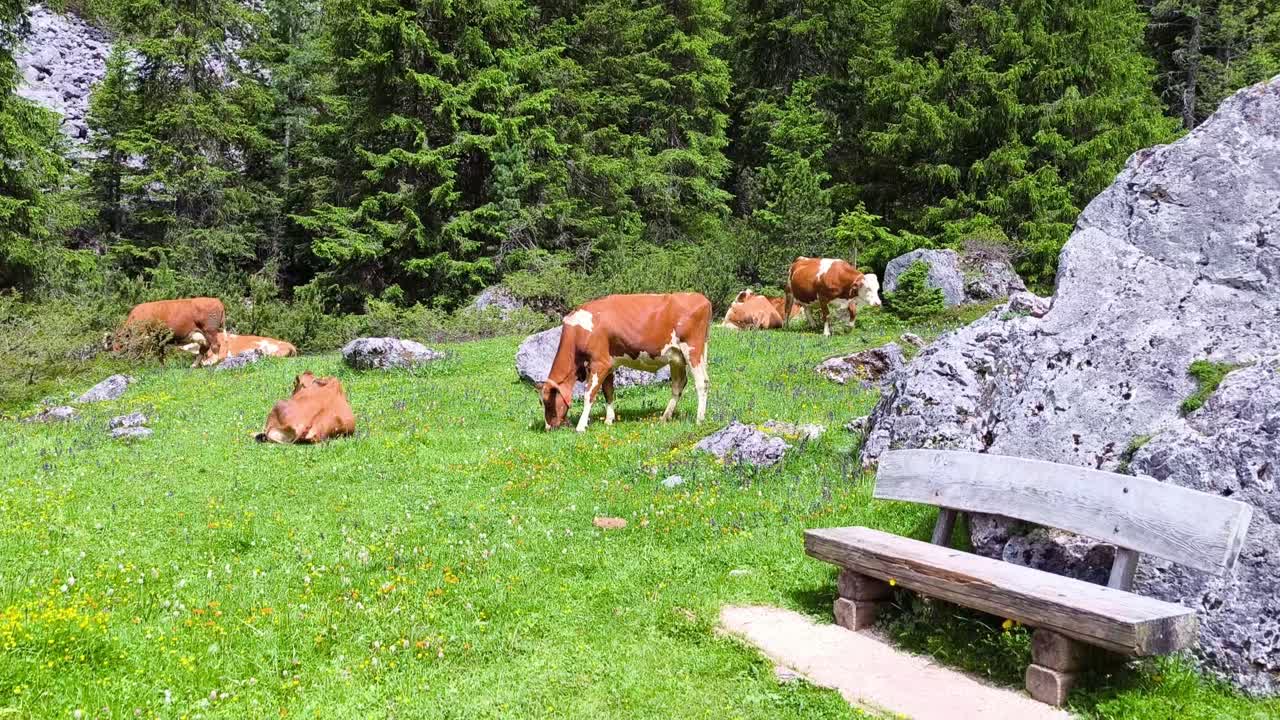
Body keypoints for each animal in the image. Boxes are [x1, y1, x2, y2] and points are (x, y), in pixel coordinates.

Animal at [541, 293, 712, 432]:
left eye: (547, 402)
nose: (548, 428)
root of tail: (702, 298)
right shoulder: (609, 364)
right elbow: (608, 392)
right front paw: (609, 420)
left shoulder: (599, 362)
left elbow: (589, 393)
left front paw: (581, 426)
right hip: (677, 357)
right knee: (678, 385)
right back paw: (665, 417)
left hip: (692, 350)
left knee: (702, 382)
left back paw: (699, 419)